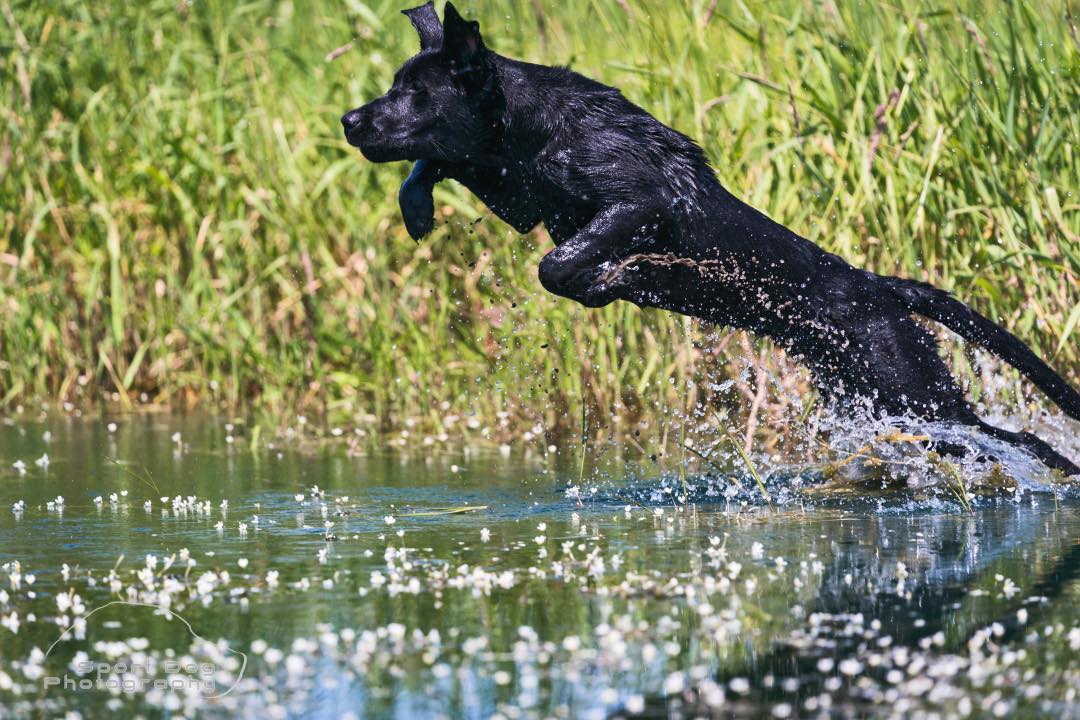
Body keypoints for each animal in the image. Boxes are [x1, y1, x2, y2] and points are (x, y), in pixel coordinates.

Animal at [343, 1, 1080, 479]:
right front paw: (416, 206)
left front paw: (621, 278)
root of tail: (878, 286)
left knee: (1020, 439)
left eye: (414, 92)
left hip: (915, 392)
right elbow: (442, 164)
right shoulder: (515, 190)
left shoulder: (640, 199)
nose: (349, 119)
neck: (538, 129)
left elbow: (559, 264)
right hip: (875, 403)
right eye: (393, 87)